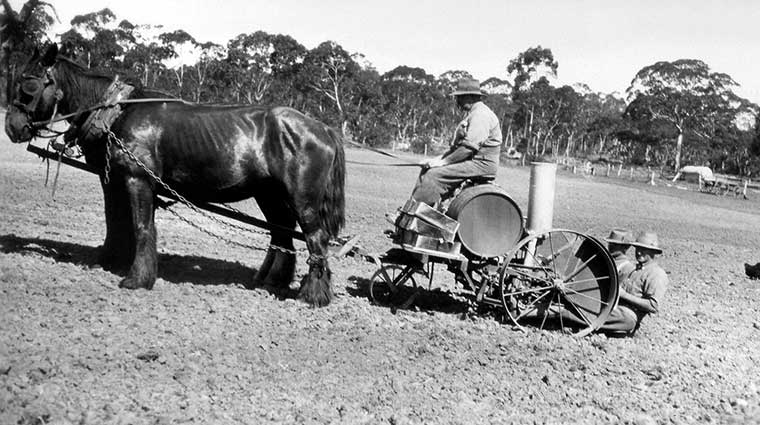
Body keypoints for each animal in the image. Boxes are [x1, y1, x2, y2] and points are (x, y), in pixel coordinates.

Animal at [3, 44, 344, 304]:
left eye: (29, 86)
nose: (12, 127)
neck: (117, 111)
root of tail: (323, 127)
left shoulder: (138, 179)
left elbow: (142, 227)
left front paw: (137, 278)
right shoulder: (112, 179)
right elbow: (115, 220)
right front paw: (110, 259)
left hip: (302, 199)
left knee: (315, 239)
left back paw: (312, 294)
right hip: (269, 195)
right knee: (281, 233)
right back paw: (270, 280)